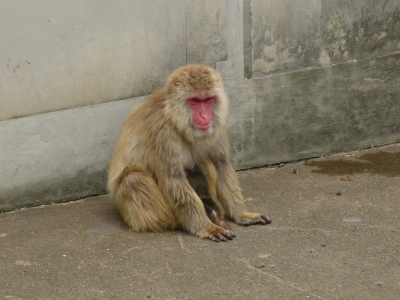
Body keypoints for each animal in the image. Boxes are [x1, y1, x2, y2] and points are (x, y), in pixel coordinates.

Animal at [108, 64, 272, 243]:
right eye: (195, 101)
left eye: (207, 100)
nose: (205, 116)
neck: (176, 119)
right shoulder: (161, 134)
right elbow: (173, 179)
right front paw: (206, 227)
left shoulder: (217, 124)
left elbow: (222, 164)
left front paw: (242, 213)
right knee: (133, 179)